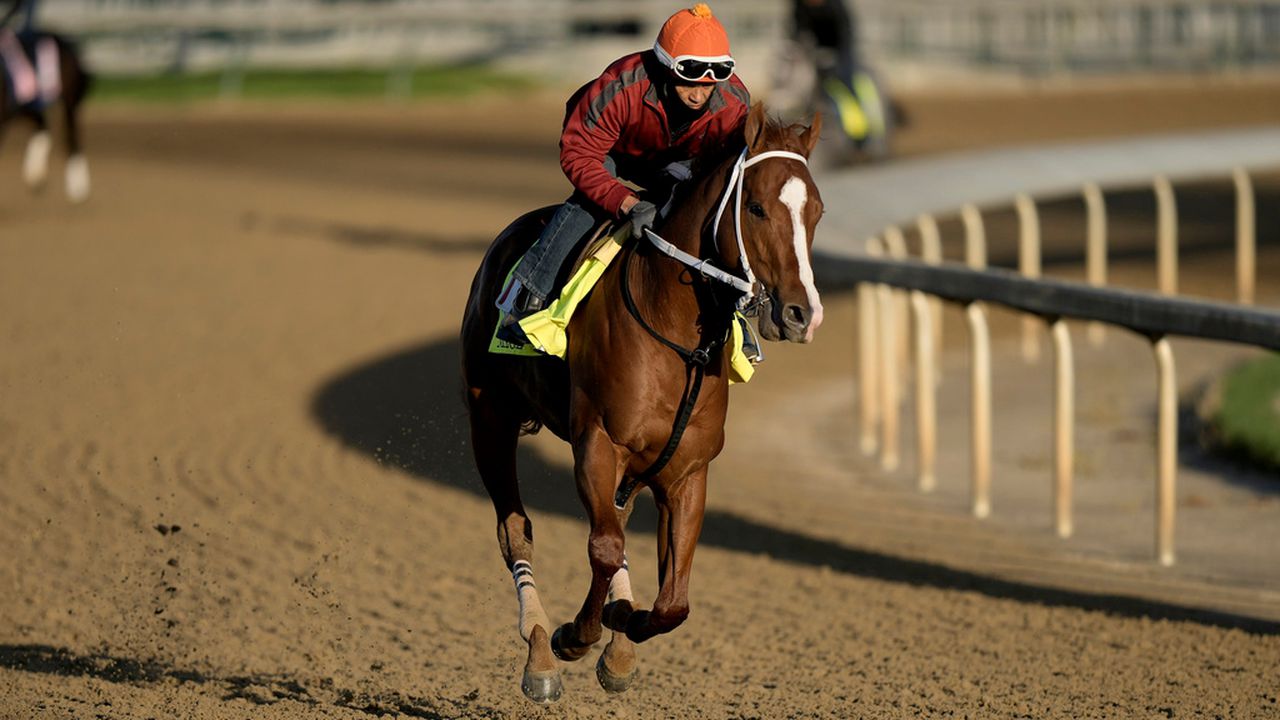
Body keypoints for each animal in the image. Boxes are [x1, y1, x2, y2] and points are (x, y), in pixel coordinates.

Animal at [458, 105, 819, 702]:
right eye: (757, 207)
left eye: (816, 211)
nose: (801, 313)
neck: (677, 336)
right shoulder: (598, 443)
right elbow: (603, 547)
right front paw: (575, 637)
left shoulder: (686, 469)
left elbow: (672, 601)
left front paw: (622, 630)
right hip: (489, 416)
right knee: (516, 531)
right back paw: (540, 650)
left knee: (616, 529)